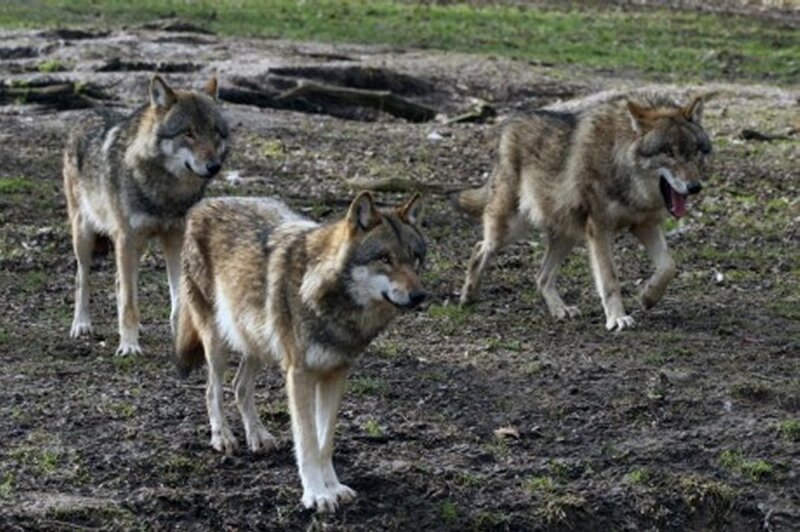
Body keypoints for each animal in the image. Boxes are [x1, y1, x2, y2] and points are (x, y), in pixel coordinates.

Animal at [64, 75, 229, 355]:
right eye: (188, 133)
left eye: (214, 132)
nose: (214, 166)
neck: (166, 192)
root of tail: (88, 113)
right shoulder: (127, 239)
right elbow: (130, 303)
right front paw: (129, 346)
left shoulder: (175, 239)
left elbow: (177, 301)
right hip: (86, 236)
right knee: (82, 279)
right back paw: (81, 325)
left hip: (133, 246)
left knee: (119, 282)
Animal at [174, 192, 426, 512]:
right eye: (385, 258)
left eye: (415, 258)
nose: (420, 296)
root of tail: (205, 202)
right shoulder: (300, 375)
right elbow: (306, 442)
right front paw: (316, 495)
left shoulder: (335, 375)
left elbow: (324, 442)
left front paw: (333, 487)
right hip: (217, 340)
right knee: (212, 390)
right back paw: (223, 437)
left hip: (256, 341)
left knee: (240, 386)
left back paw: (258, 436)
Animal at [454, 95, 711, 331]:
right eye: (668, 153)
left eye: (695, 151)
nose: (694, 187)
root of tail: (509, 124)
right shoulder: (600, 230)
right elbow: (609, 279)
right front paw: (617, 318)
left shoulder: (644, 224)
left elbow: (668, 266)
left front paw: (648, 296)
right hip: (512, 228)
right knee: (480, 248)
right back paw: (468, 295)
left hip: (567, 234)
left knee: (541, 277)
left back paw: (561, 310)